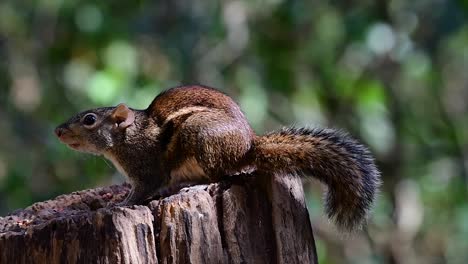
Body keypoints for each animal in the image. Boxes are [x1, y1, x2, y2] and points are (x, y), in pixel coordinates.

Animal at [54, 85, 380, 231]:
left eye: (89, 120)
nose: (57, 131)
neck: (127, 138)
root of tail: (249, 147)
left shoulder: (146, 170)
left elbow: (142, 189)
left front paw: (117, 205)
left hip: (201, 137)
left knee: (221, 175)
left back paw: (193, 185)